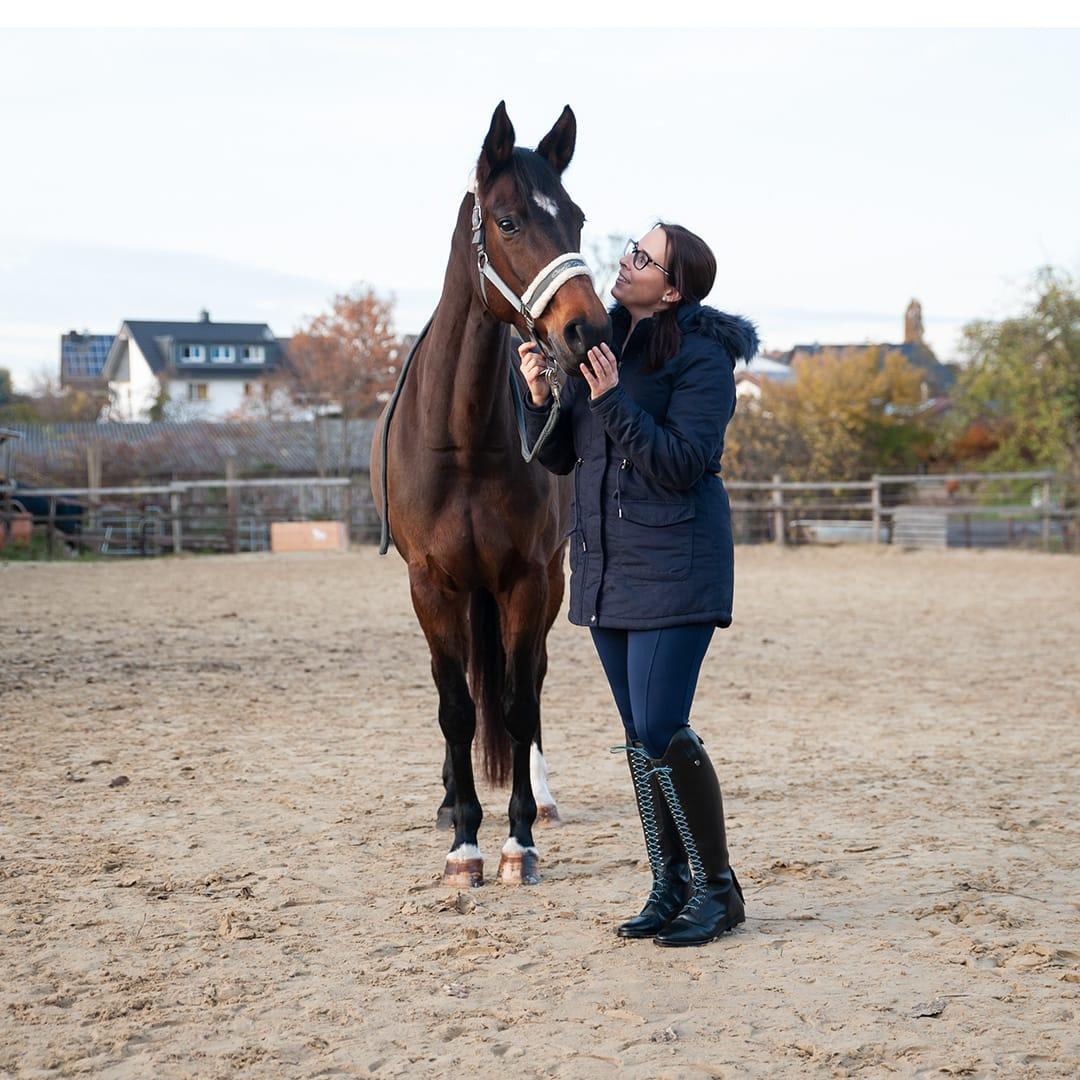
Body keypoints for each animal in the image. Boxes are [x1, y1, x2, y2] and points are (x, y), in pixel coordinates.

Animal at [369, 103, 609, 885]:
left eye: (576, 217)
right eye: (508, 221)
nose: (587, 328)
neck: (465, 438)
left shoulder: (527, 580)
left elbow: (517, 699)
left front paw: (517, 838)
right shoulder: (432, 584)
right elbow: (455, 707)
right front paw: (463, 843)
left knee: (522, 684)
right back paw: (453, 800)